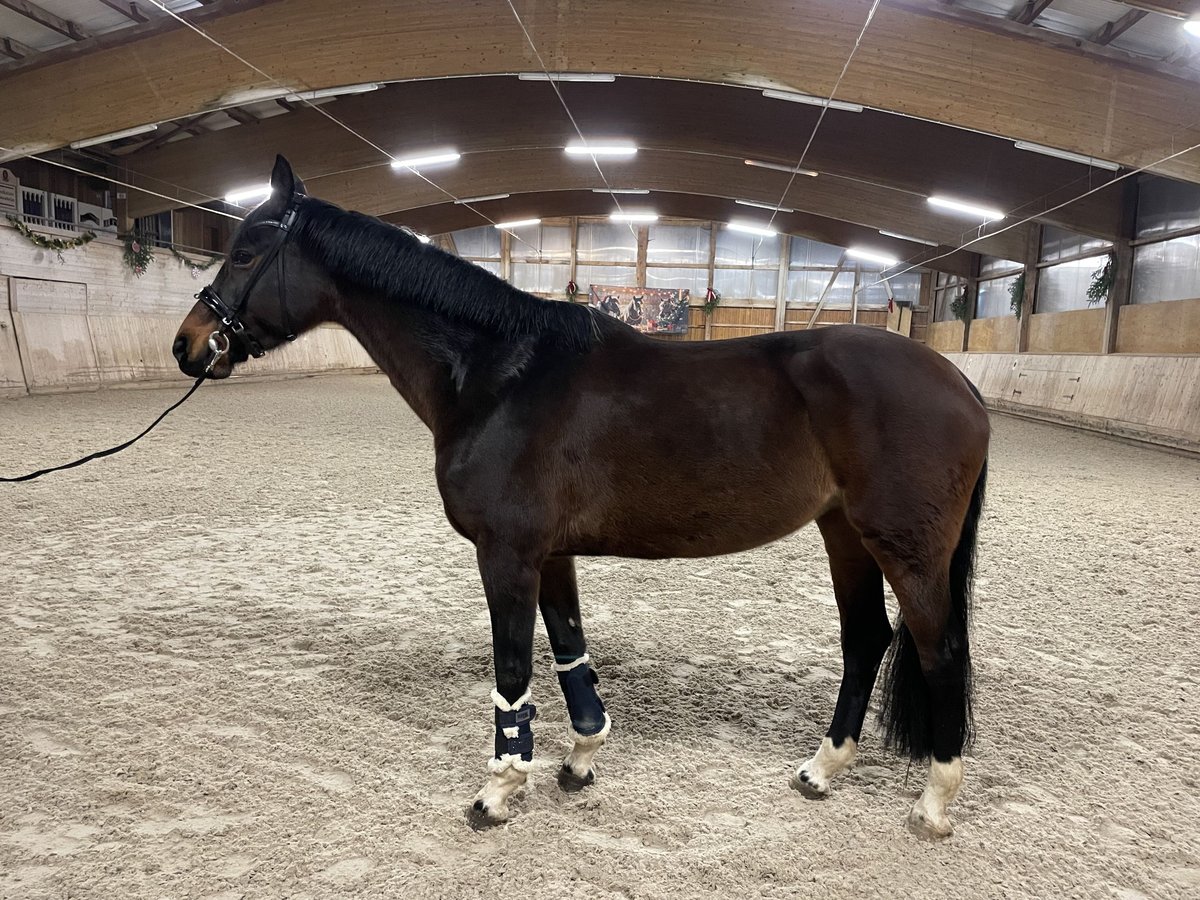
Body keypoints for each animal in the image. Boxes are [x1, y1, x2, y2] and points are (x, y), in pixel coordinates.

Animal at [174, 158, 988, 844]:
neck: (500, 374)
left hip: (905, 550)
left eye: (246, 252)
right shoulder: (551, 553)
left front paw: (498, 791)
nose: (189, 344)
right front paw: (580, 757)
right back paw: (822, 770)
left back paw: (933, 805)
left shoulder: (506, 554)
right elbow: (570, 651)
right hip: (844, 533)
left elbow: (512, 672)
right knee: (865, 640)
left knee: (938, 651)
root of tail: (958, 382)